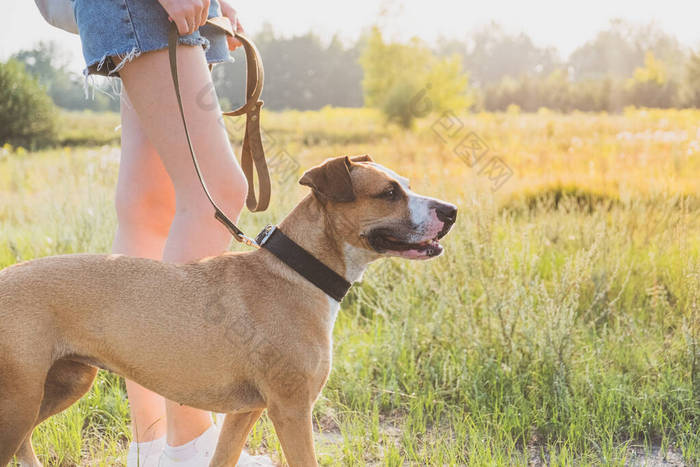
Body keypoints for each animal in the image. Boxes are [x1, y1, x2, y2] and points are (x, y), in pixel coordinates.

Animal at [1, 156, 460, 467]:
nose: (452, 210)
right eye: (389, 193)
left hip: (64, 384)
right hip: (21, 400)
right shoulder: (292, 411)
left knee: (23, 442)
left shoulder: (244, 414)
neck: (298, 271)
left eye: (405, 185)